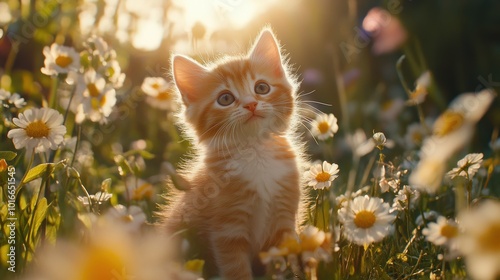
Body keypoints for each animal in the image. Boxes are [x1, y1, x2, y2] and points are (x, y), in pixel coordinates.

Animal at [164, 29, 304, 280]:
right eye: (225, 98)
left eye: (261, 88)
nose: (251, 104)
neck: (255, 152)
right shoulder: (227, 231)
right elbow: (237, 270)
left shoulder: (285, 222)